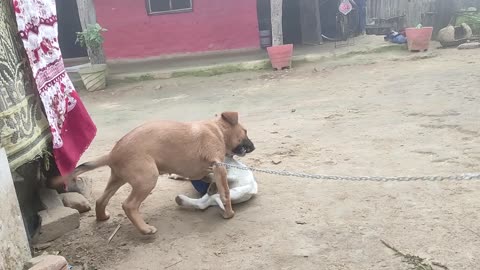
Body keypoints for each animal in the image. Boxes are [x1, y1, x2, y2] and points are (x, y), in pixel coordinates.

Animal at [71, 112, 255, 234]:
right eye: (245, 131)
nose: (253, 147)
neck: (216, 130)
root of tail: (112, 154)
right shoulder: (219, 166)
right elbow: (225, 193)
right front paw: (229, 213)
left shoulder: (207, 170)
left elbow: (210, 180)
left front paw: (211, 187)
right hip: (147, 179)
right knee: (129, 205)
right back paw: (145, 229)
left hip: (117, 178)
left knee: (101, 200)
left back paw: (102, 217)